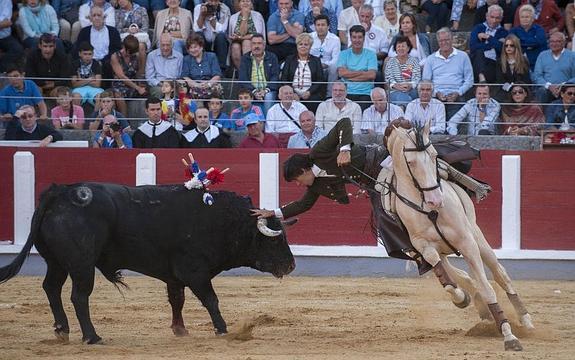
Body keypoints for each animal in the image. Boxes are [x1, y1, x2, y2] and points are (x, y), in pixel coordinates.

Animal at [0, 184, 296, 344]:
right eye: (275, 240)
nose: (291, 265)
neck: (224, 220)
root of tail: (60, 192)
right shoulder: (195, 271)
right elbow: (211, 299)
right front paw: (222, 330)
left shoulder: (175, 275)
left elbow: (177, 300)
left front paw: (180, 330)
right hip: (82, 264)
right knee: (79, 296)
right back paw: (92, 336)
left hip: (57, 262)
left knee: (51, 288)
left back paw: (62, 331)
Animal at [384, 121, 536, 352]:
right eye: (410, 162)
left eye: (434, 155)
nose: (436, 200)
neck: (428, 208)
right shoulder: (423, 246)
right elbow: (449, 283)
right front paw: (461, 298)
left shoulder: (466, 243)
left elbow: (487, 288)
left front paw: (509, 337)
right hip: (442, 252)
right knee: (461, 275)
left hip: (478, 237)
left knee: (500, 275)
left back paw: (525, 321)